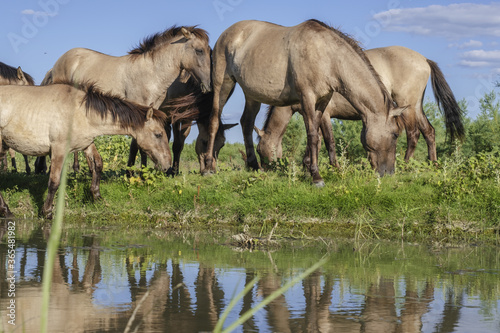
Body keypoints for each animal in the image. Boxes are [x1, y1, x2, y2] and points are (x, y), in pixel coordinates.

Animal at [0, 82, 172, 219]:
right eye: (158, 134)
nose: (167, 165)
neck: (79, 112)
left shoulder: (86, 144)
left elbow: (98, 165)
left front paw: (97, 197)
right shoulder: (59, 149)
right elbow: (54, 182)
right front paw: (46, 212)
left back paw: (6, 210)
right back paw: (6, 210)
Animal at [36, 25, 212, 174]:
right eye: (199, 51)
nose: (208, 85)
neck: (151, 73)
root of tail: (58, 63)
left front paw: (142, 171)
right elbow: (136, 144)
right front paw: (132, 172)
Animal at [199, 19, 406, 187]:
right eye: (395, 134)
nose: (389, 173)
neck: (327, 56)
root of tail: (226, 34)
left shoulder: (322, 103)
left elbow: (320, 138)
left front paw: (315, 169)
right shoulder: (307, 98)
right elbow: (314, 136)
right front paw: (316, 177)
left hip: (252, 95)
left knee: (247, 123)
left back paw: (253, 166)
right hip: (223, 84)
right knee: (214, 120)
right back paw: (209, 168)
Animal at [256, 45, 466, 167]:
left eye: (259, 150)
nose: (265, 170)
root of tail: (424, 60)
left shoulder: (324, 114)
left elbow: (328, 140)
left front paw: (331, 166)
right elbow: (317, 139)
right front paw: (308, 164)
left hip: (406, 105)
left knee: (413, 134)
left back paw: (405, 165)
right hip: (416, 107)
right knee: (429, 132)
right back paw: (433, 164)